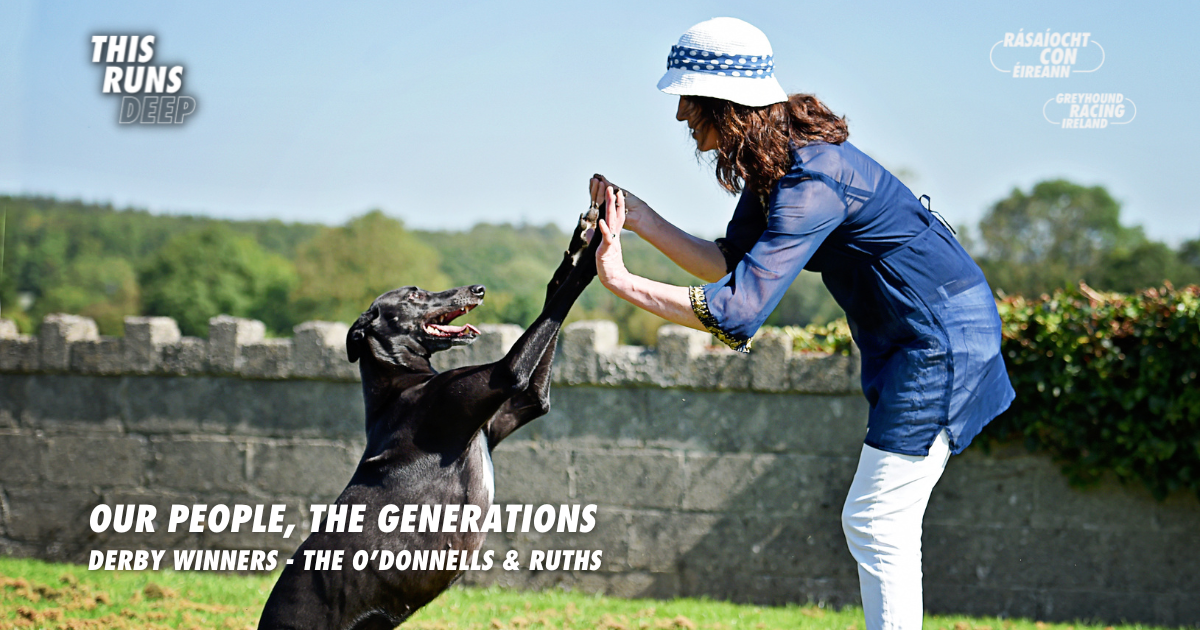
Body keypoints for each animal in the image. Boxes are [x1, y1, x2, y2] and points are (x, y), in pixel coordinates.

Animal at [258, 204, 604, 624]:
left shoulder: (523, 403)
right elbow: (556, 308)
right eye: (414, 294)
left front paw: (577, 245)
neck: (402, 379)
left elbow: (553, 303)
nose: (478, 289)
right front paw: (596, 252)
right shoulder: (501, 377)